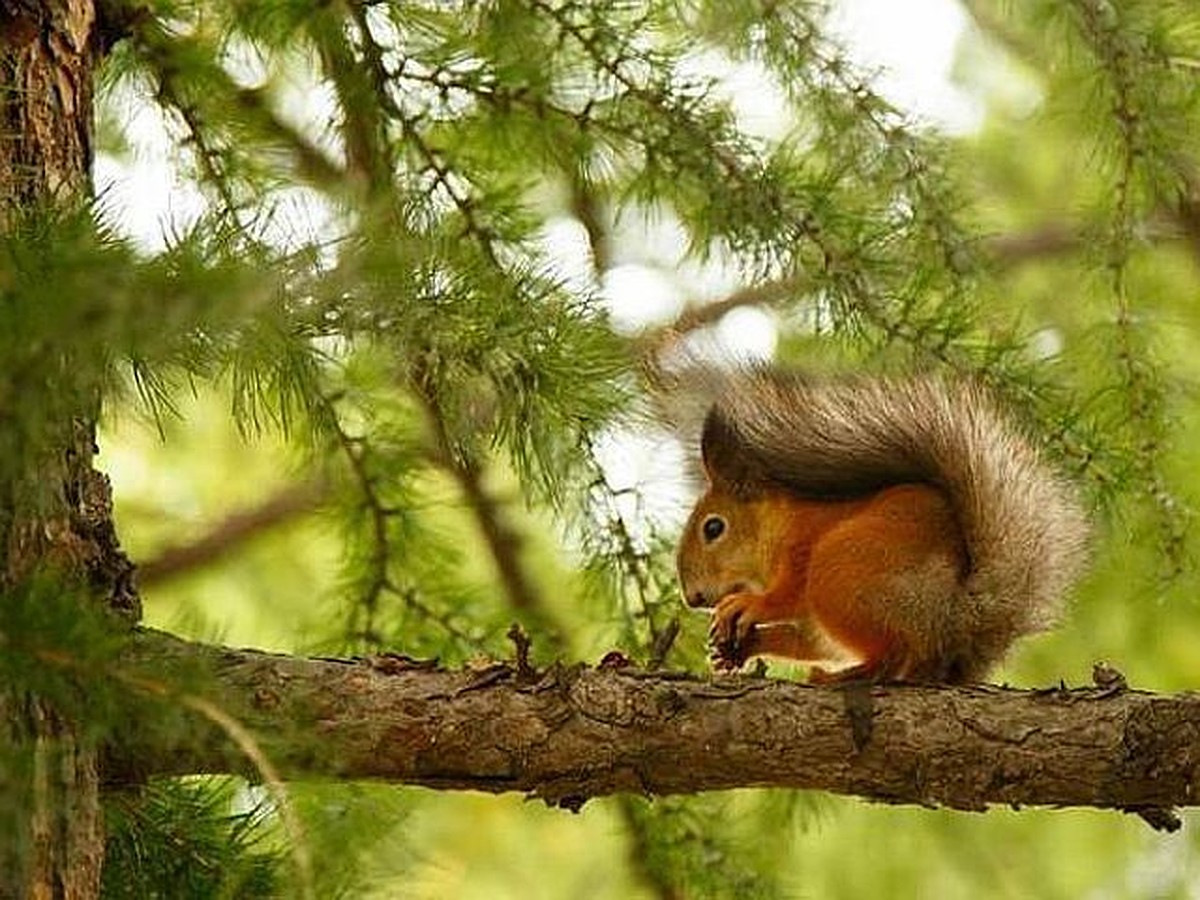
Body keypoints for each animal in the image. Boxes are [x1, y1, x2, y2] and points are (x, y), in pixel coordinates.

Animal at [676, 367, 1089, 681]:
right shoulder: (815, 628)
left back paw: (838, 678)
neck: (774, 527)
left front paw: (749, 604)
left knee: (895, 656)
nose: (692, 598)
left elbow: (787, 595)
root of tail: (955, 622)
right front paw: (740, 648)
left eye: (713, 528)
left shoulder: (803, 546)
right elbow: (808, 641)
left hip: (839, 569)